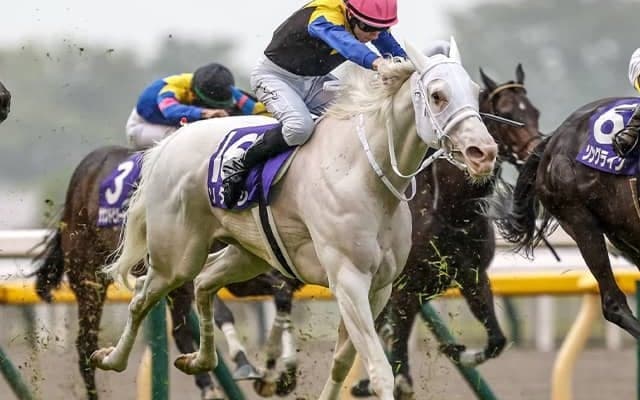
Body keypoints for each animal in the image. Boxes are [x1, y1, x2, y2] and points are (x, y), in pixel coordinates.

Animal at [89, 39, 498, 400]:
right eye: (437, 95)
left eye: (474, 92)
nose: (484, 152)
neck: (364, 173)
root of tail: (167, 145)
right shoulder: (348, 279)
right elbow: (379, 369)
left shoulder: (380, 286)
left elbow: (343, 362)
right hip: (176, 256)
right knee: (141, 298)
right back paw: (110, 358)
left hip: (247, 253)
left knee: (204, 282)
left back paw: (199, 360)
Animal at [350, 64, 542, 398]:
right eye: (506, 112)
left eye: (535, 112)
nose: (535, 153)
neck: (451, 210)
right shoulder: (404, 287)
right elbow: (398, 360)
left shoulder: (472, 276)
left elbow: (497, 340)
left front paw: (457, 352)